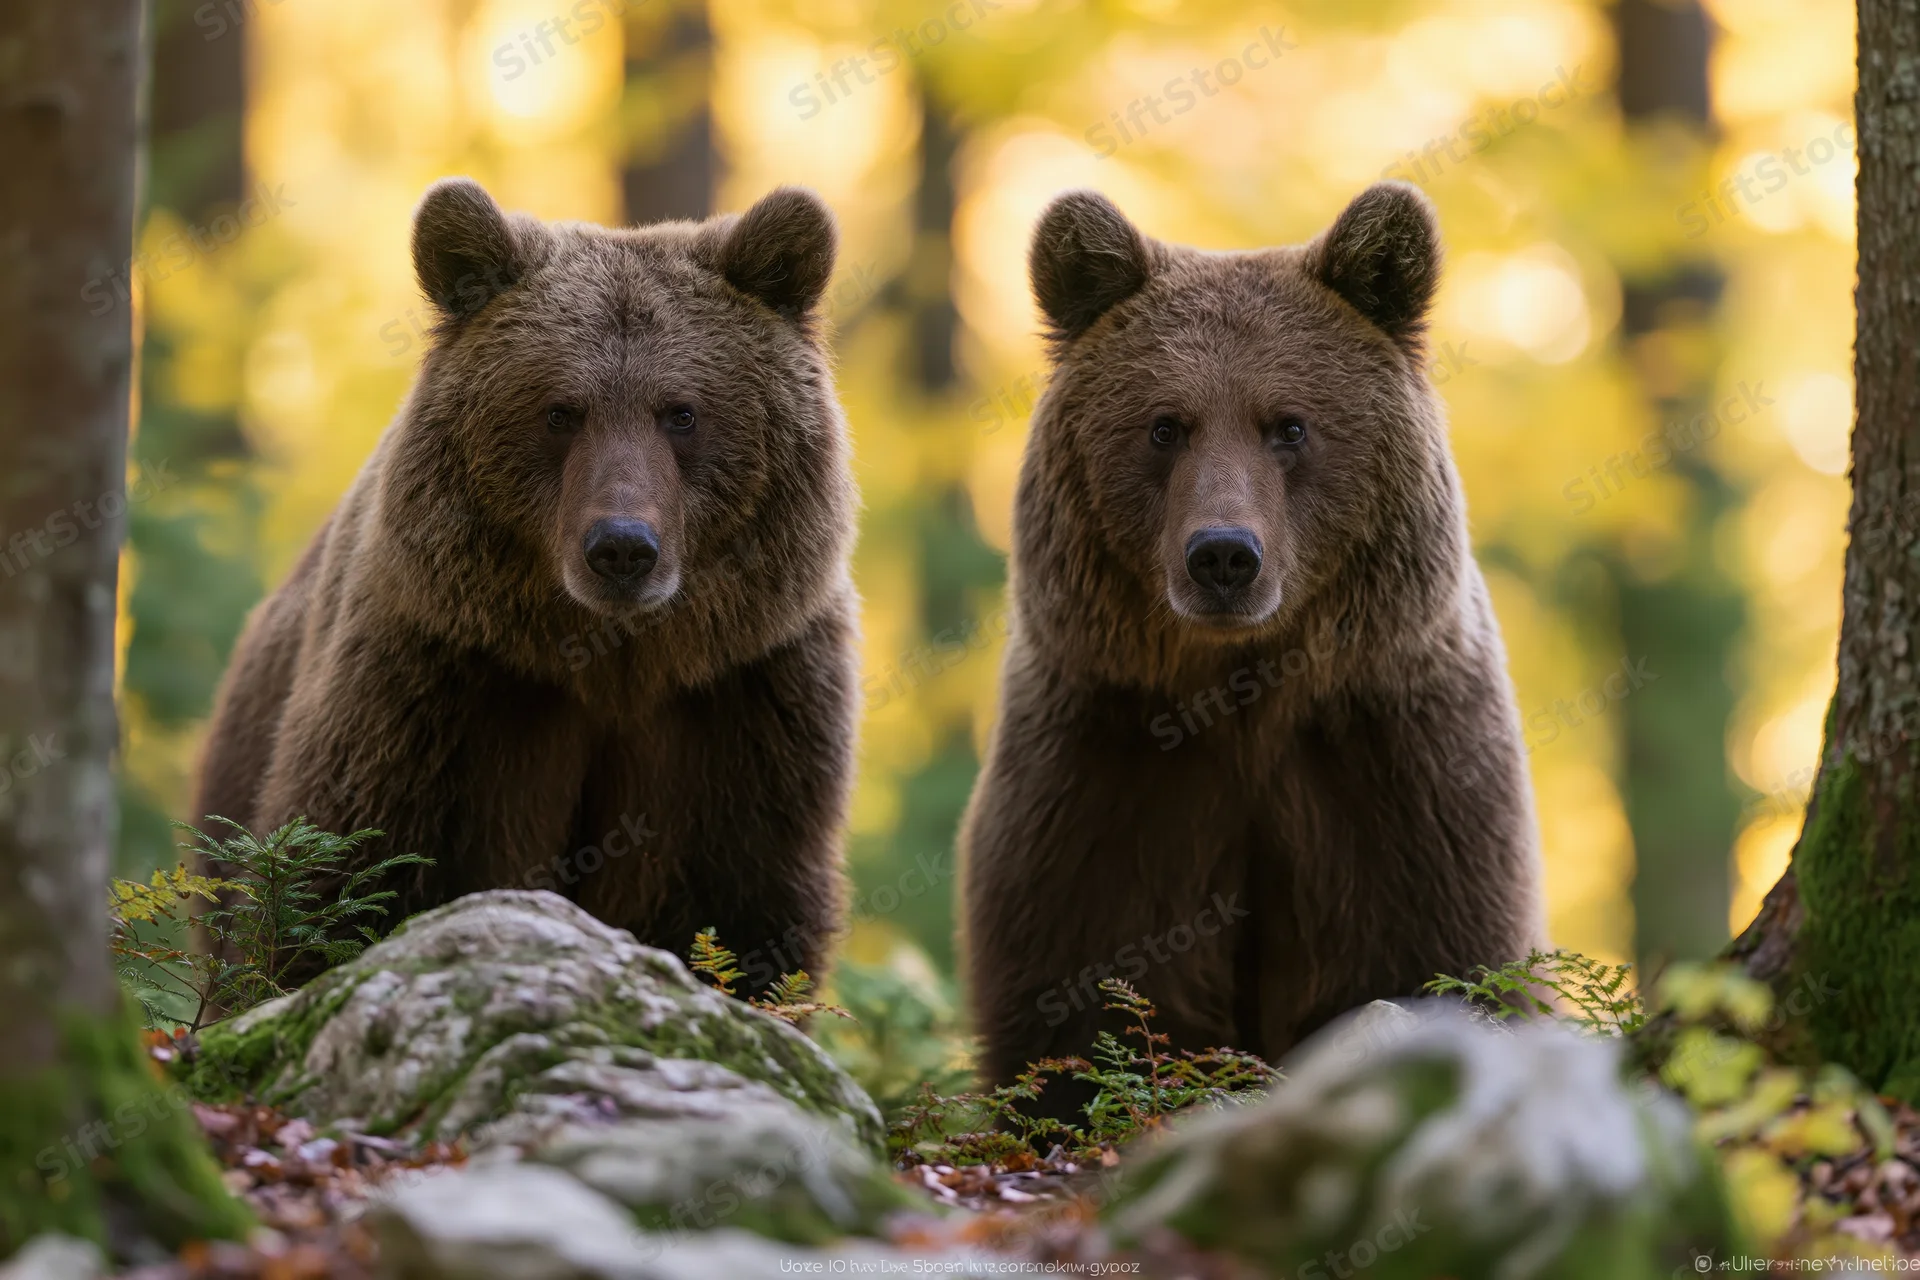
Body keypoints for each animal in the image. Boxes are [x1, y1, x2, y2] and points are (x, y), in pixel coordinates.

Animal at [193, 179, 860, 994]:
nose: (621, 548)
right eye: (560, 411)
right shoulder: (439, 684)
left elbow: (744, 914)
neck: (616, 663)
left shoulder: (747, 701)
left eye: (682, 412)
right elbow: (346, 880)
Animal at [959, 182, 1544, 1103]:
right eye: (1166, 426)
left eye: (1289, 426)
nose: (1225, 555)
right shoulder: (1108, 765)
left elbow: (1431, 953)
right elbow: (1085, 983)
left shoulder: (1395, 765)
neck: (1244, 690)